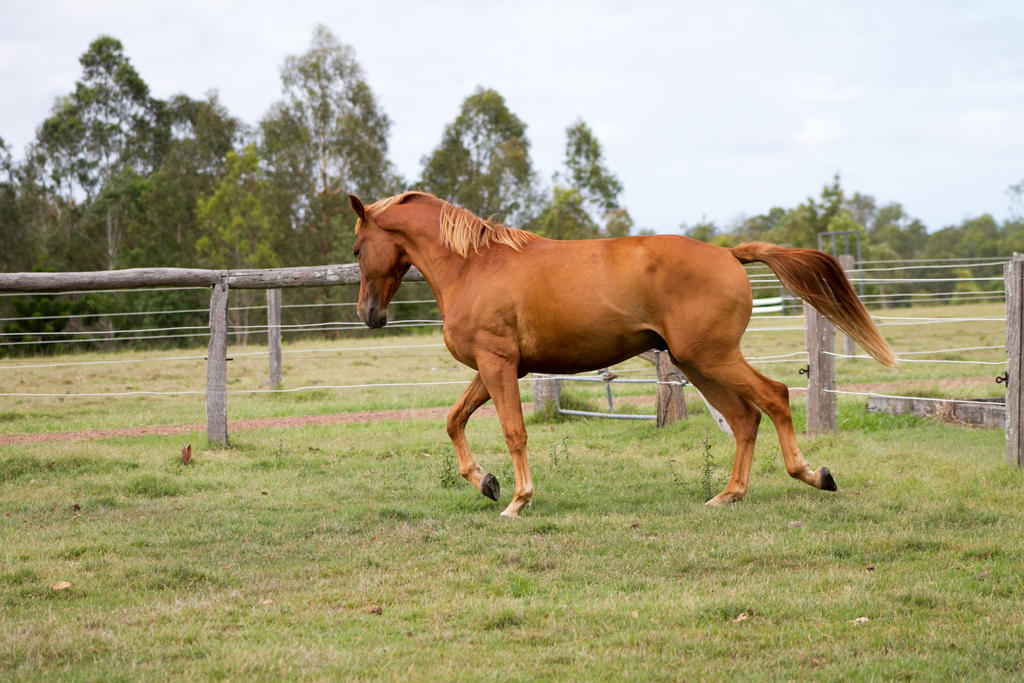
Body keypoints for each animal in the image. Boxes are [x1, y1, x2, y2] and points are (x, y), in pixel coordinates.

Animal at [348, 189, 892, 516]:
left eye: (356, 249)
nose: (369, 314)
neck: (474, 266)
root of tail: (729, 254)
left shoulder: (497, 365)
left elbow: (513, 431)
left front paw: (518, 500)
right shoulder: (494, 368)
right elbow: (454, 419)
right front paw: (486, 482)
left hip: (711, 357)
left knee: (774, 397)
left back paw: (813, 475)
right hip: (697, 363)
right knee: (745, 419)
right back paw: (728, 494)